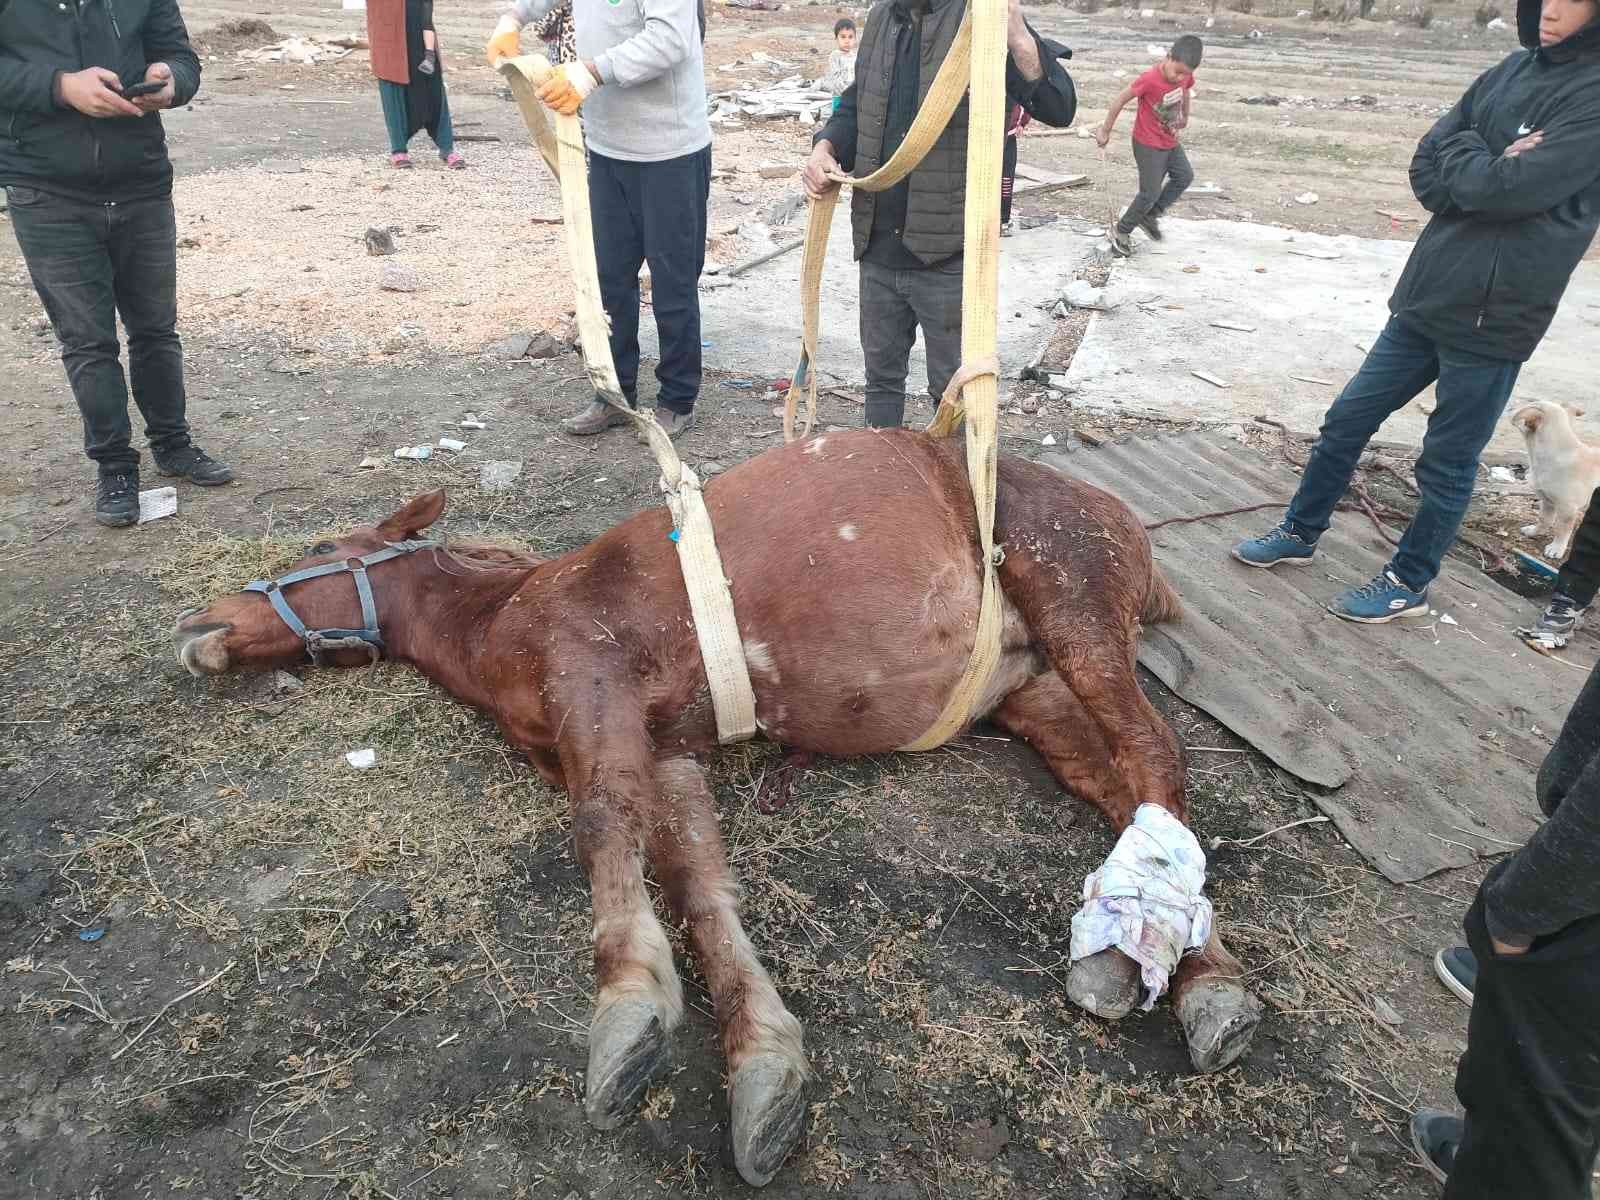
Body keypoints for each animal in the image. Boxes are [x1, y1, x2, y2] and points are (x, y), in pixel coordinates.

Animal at [178, 428, 1260, 1190]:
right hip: (1026, 688)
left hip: (1071, 600)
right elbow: (698, 884)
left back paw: (1191, 979)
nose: (198, 624)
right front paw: (761, 1063)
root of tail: (1125, 523)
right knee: (1119, 785)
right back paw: (1163, 958)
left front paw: (625, 1013)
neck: (508, 614)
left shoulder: (598, 691)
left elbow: (603, 830)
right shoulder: (670, 753)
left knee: (1152, 755)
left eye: (321, 545)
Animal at [1510, 396, 1600, 563]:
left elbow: (1562, 530)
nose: (1510, 407)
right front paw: (1534, 531)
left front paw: (1557, 548)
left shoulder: (1568, 509)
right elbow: (1543, 519)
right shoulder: (1547, 501)